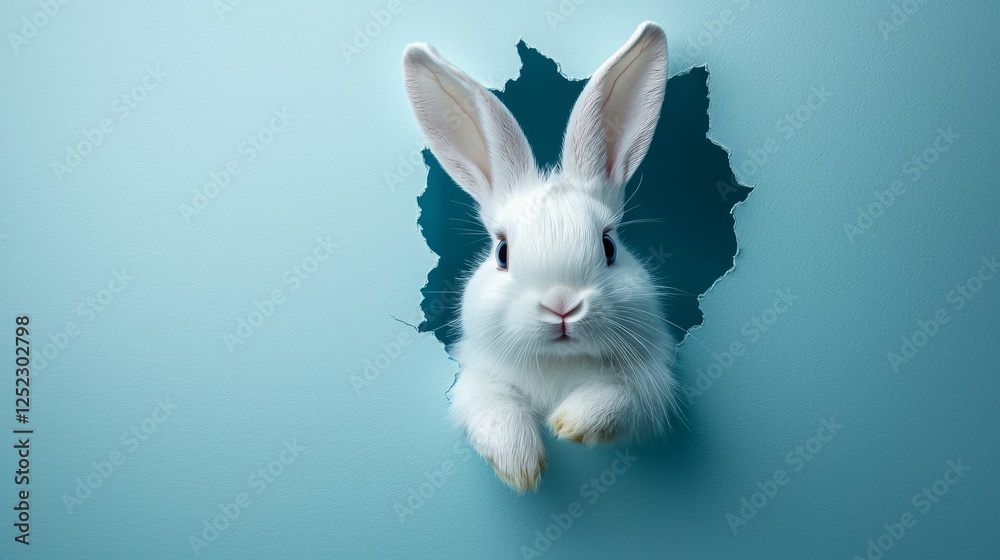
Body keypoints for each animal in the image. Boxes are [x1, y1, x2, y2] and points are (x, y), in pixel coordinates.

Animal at [402, 21, 678, 493]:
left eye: (609, 246)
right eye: (502, 252)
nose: (561, 306)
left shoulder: (648, 380)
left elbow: (615, 398)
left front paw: (566, 424)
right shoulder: (478, 380)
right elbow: (497, 413)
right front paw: (521, 468)